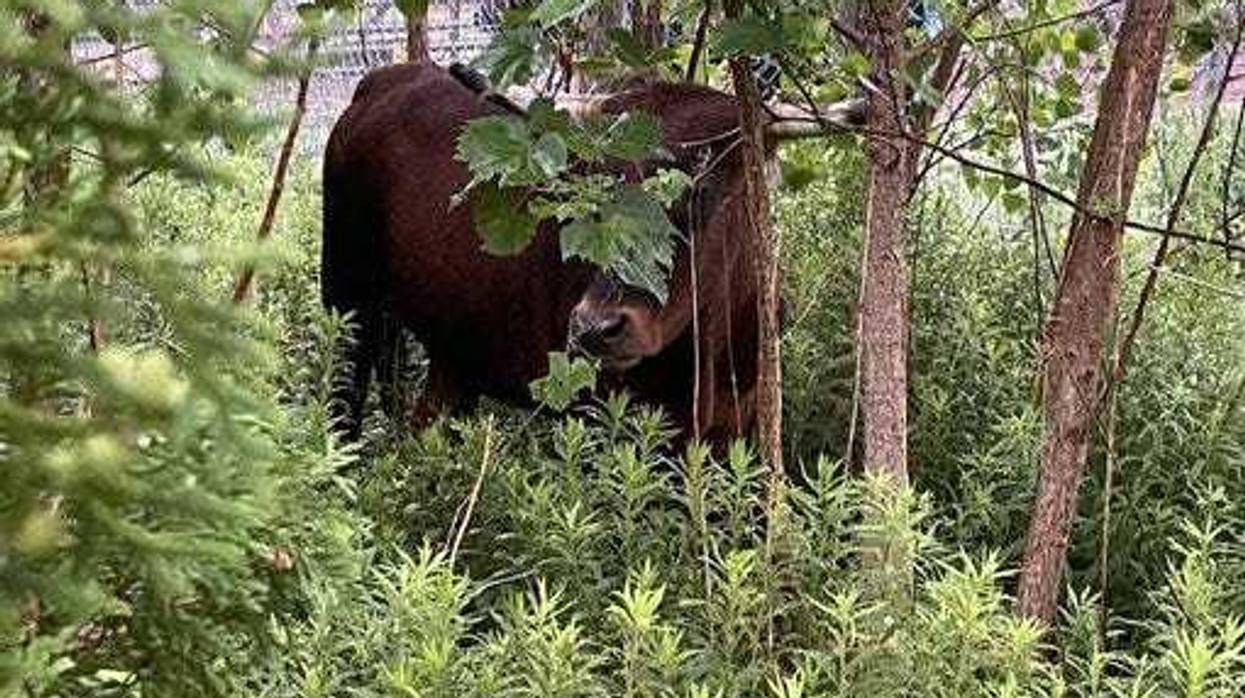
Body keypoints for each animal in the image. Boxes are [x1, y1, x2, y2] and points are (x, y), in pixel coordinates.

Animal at [321, 60, 861, 447]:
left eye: (701, 188)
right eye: (595, 186)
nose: (596, 328)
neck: (717, 340)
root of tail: (382, 81)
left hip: (455, 350)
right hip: (347, 306)